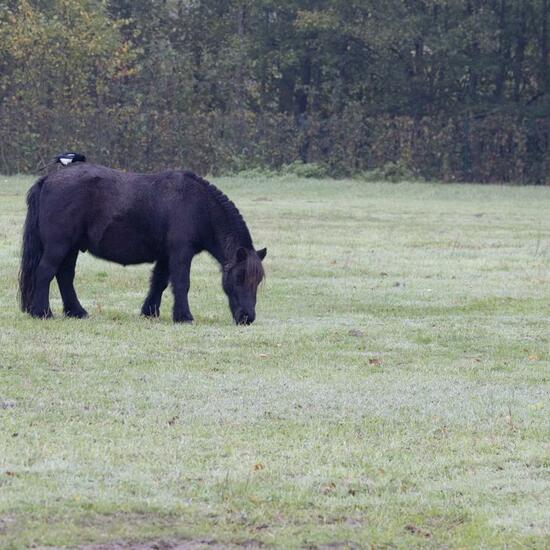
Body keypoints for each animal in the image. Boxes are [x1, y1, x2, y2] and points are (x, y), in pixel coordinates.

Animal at [17, 166, 268, 326]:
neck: (198, 206)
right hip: (58, 247)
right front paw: (184, 317)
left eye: (257, 281)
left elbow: (159, 282)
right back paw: (42, 312)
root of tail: (47, 179)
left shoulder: (166, 256)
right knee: (45, 273)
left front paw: (150, 312)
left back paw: (76, 312)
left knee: (65, 276)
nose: (247, 318)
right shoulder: (181, 253)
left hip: (71, 248)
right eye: (239, 278)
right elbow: (181, 284)